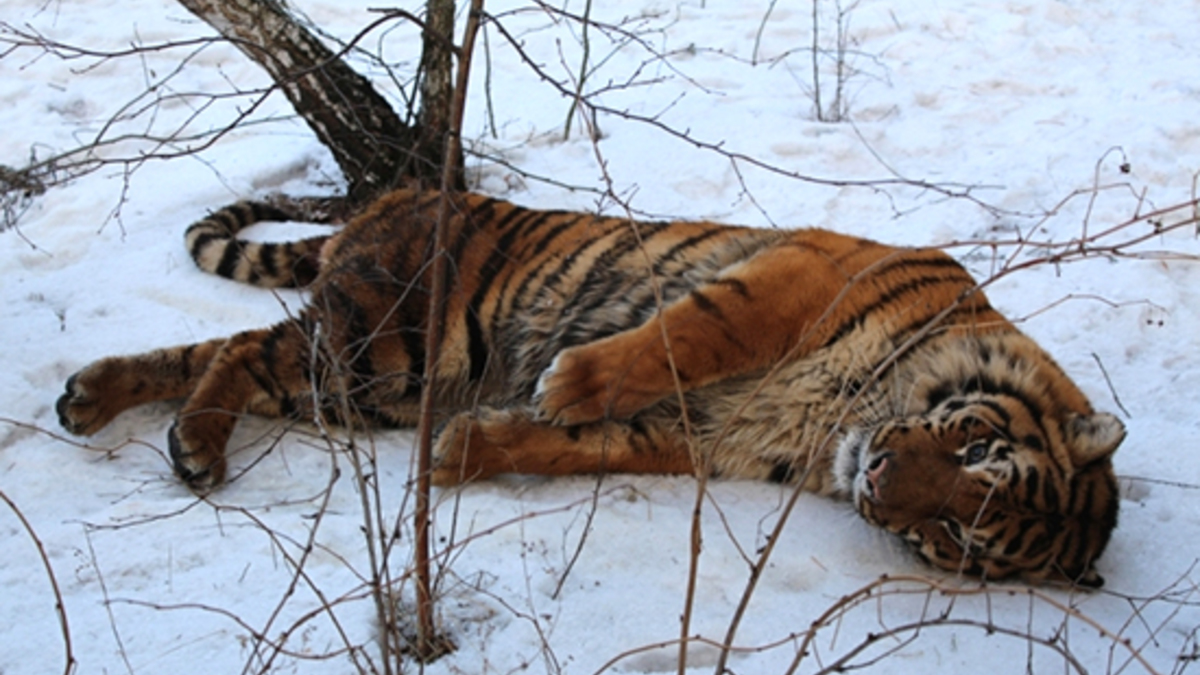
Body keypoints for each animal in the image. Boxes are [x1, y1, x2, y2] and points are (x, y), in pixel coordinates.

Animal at [56, 187, 1123, 583]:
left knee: (219, 349)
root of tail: (394, 192)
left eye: (956, 537)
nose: (878, 478)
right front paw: (570, 378)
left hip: (370, 379)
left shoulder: (695, 434)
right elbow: (693, 330)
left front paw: (471, 448)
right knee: (237, 351)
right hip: (389, 346)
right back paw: (186, 440)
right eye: (977, 448)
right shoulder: (798, 276)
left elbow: (578, 447)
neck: (840, 423)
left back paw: (107, 405)